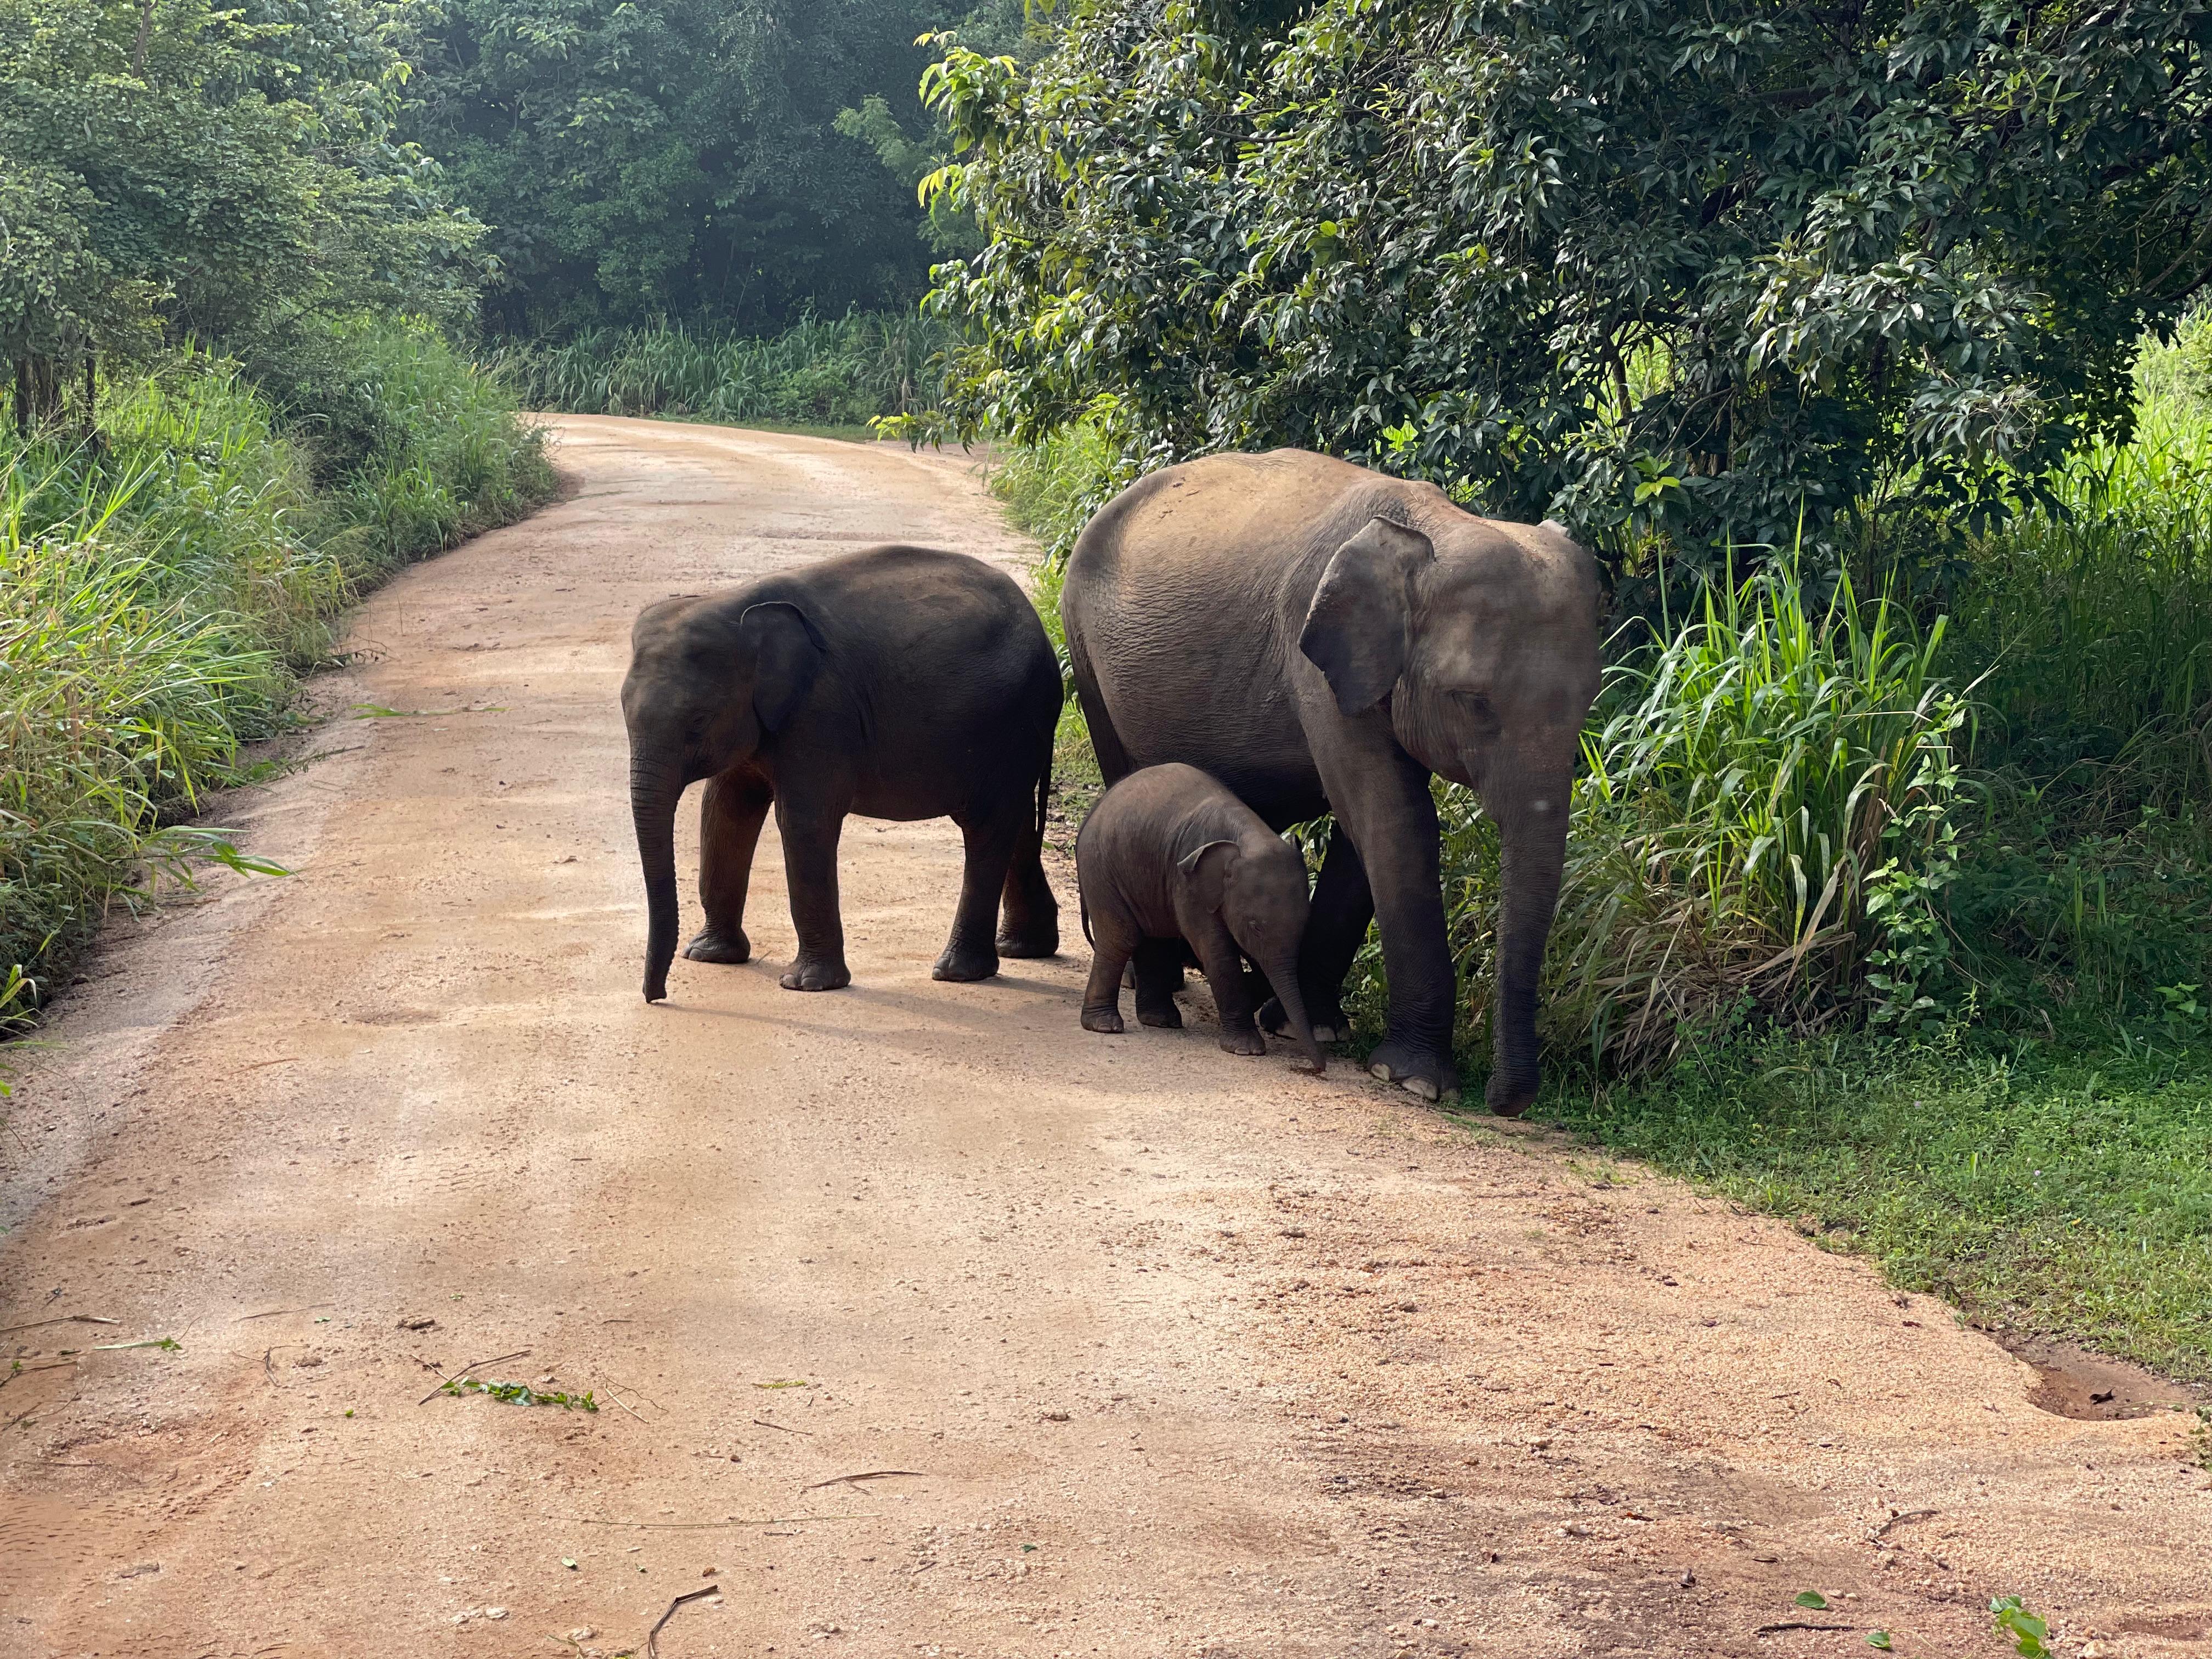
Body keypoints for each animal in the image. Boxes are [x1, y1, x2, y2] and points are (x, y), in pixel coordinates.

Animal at [623, 543, 1062, 1003]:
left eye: (698, 721)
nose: (657, 996)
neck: (735, 606)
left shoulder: (821, 712)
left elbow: (803, 823)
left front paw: (807, 985)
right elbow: (724, 811)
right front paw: (709, 956)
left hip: (1012, 724)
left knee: (987, 828)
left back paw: (957, 972)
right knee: (1015, 823)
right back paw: (1022, 949)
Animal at [1074, 762, 1327, 1072]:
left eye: (1305, 925)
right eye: (1255, 927)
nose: (1318, 1068)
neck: (1250, 835)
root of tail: (1094, 810)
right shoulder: (1189, 882)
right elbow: (1217, 950)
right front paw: (1246, 1050)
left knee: (1153, 936)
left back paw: (1162, 1021)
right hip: (1101, 867)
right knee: (1123, 937)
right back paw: (1105, 1026)